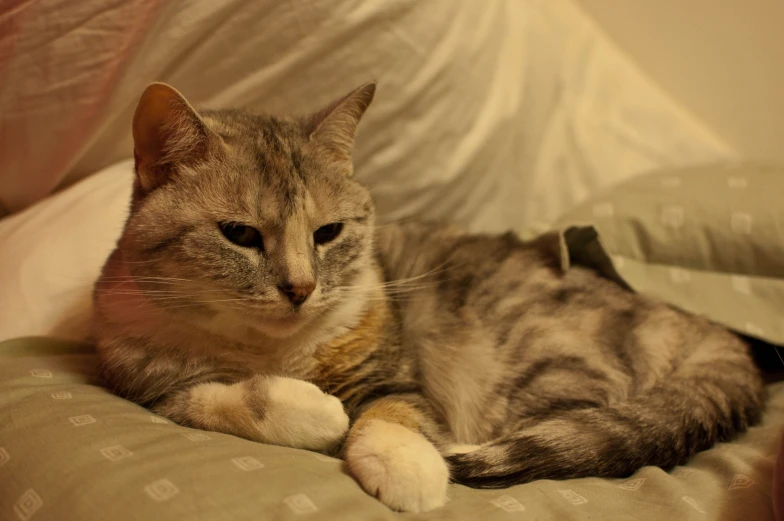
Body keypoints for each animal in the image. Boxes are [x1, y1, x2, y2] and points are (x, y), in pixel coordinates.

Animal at [89, 81, 764, 512]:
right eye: (240, 234)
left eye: (328, 232)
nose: (302, 288)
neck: (272, 351)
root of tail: (700, 327)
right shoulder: (143, 381)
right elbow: (217, 399)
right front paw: (318, 412)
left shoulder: (391, 372)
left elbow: (397, 412)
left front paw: (407, 466)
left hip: (547, 358)